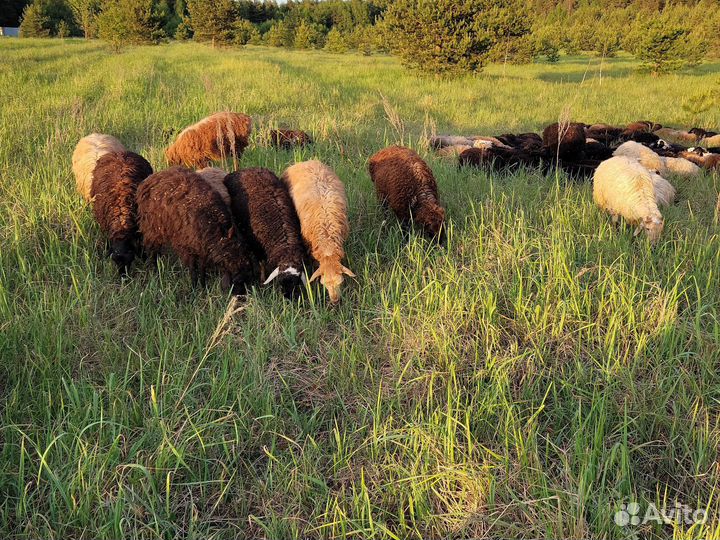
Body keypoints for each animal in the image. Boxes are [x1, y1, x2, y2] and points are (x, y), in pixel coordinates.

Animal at [137, 166, 256, 296]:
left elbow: (202, 267)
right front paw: (194, 287)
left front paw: (203, 286)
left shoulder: (202, 246)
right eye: (238, 280)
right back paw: (155, 271)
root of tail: (153, 176)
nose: (240, 295)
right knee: (153, 250)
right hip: (152, 228)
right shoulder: (187, 245)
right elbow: (193, 268)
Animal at [224, 168, 306, 300]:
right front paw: (262, 281)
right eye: (280, 281)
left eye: (296, 283)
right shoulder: (256, 246)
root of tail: (246, 169)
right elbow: (261, 264)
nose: (288, 298)